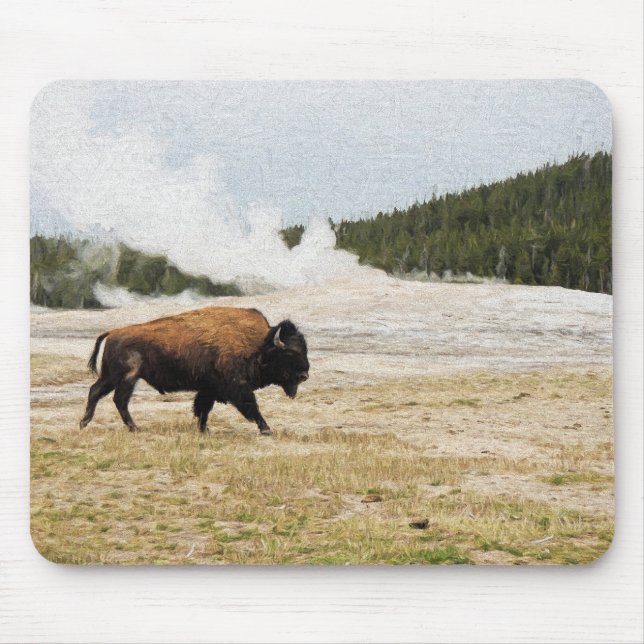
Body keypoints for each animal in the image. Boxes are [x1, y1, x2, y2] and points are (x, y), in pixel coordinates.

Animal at [79, 307, 309, 435]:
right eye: (290, 353)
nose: (304, 375)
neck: (259, 344)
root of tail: (113, 332)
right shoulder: (237, 387)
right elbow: (251, 407)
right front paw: (266, 429)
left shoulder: (209, 389)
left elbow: (202, 408)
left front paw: (204, 429)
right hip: (127, 377)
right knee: (119, 400)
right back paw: (134, 428)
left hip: (111, 376)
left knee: (96, 392)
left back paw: (84, 423)